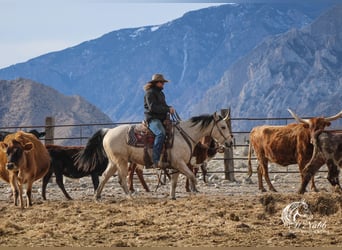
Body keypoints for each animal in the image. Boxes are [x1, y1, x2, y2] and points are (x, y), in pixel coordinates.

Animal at [77, 112, 232, 200]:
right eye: (223, 127)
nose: (230, 142)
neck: (184, 135)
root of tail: (108, 131)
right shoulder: (180, 163)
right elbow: (192, 176)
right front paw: (195, 192)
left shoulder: (177, 165)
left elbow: (174, 181)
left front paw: (173, 196)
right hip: (121, 161)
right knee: (122, 179)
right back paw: (129, 196)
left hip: (113, 162)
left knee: (105, 176)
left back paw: (97, 196)